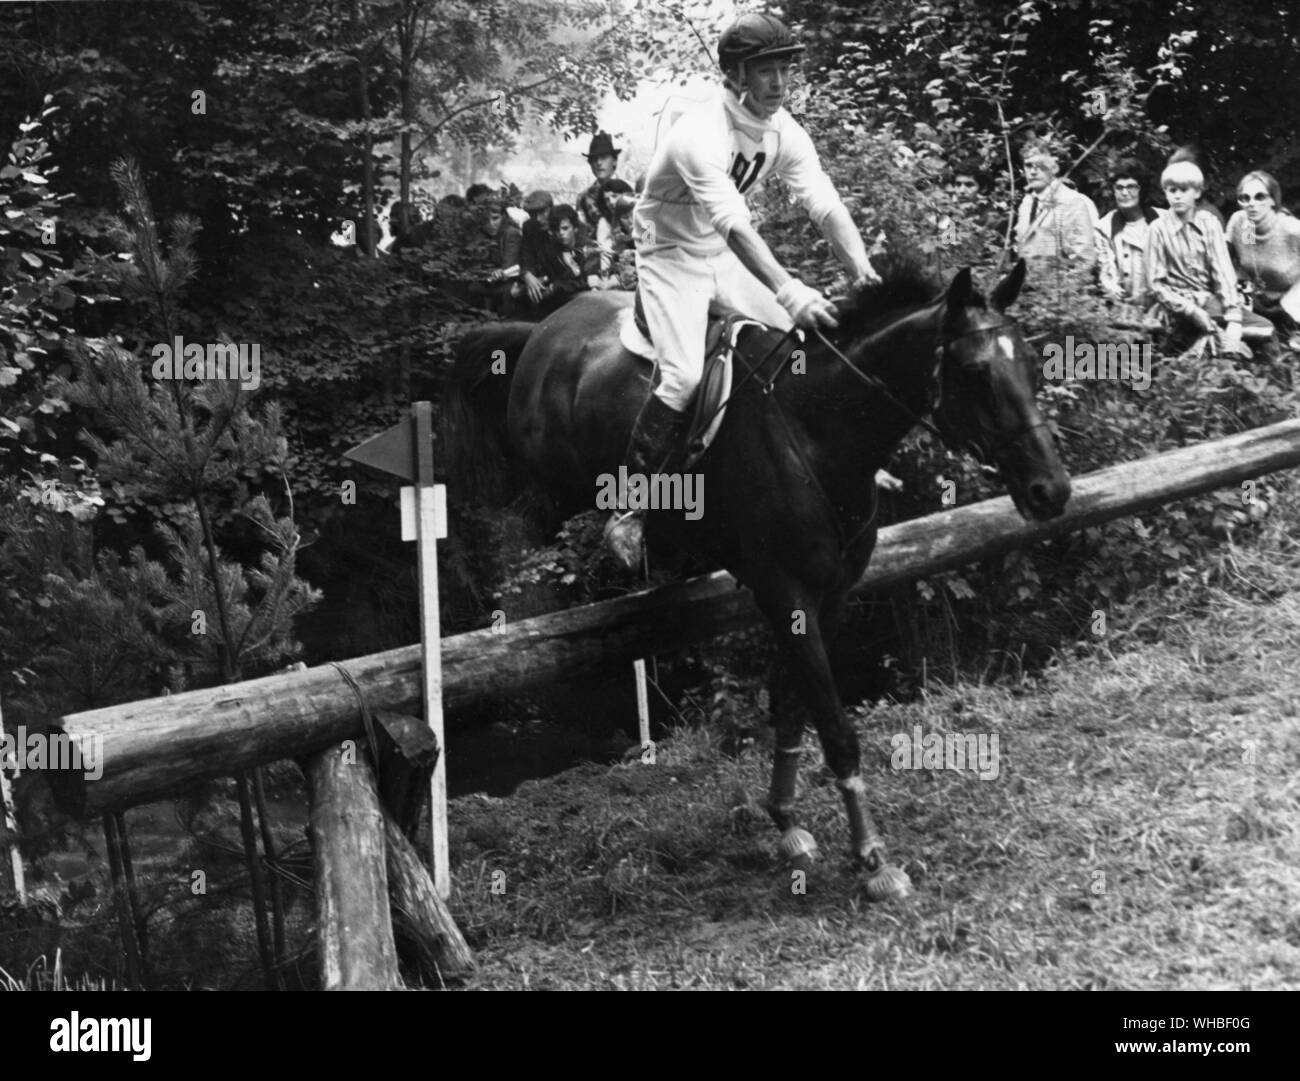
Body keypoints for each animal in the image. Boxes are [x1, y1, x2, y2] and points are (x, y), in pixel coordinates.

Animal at [441, 255, 1071, 904]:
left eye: (1030, 364)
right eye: (977, 373)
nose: (1052, 491)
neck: (818, 429)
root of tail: (543, 327)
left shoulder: (831, 595)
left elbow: (792, 705)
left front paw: (787, 819)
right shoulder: (784, 591)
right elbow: (834, 724)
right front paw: (873, 858)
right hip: (548, 461)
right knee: (544, 504)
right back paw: (629, 532)